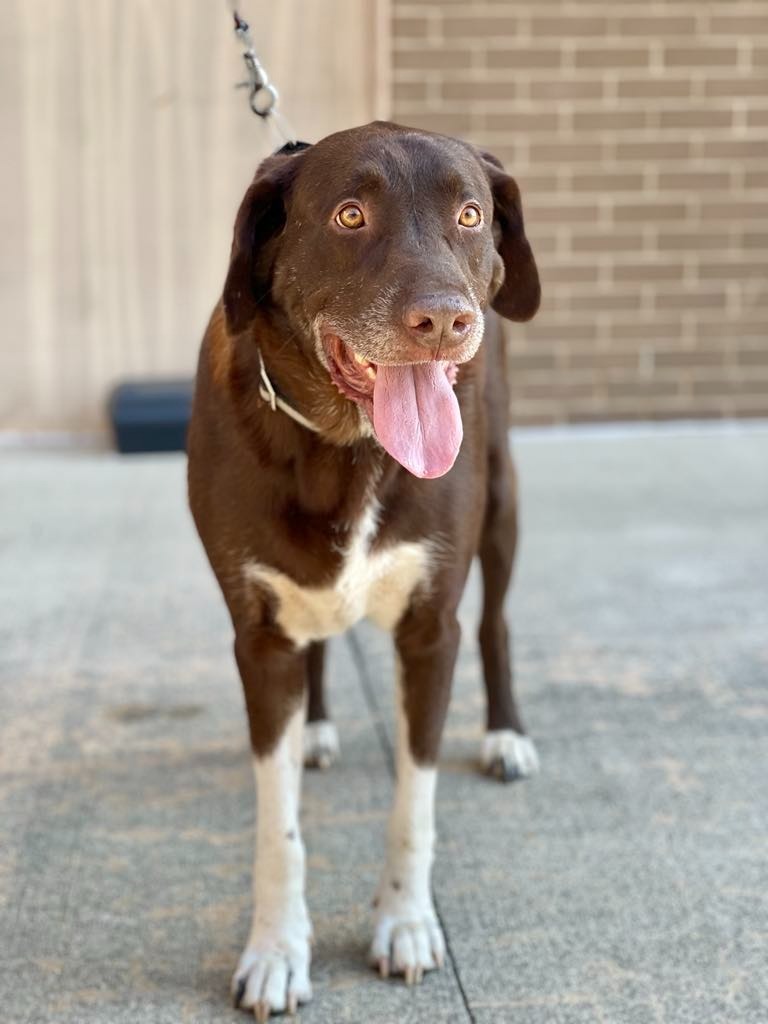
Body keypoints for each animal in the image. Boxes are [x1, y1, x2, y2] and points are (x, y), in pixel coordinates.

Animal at [186, 119, 540, 1015]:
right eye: (349, 215)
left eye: (470, 214)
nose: (444, 321)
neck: (344, 446)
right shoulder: (257, 638)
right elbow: (279, 830)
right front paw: (276, 952)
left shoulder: (429, 629)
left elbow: (414, 803)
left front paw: (405, 923)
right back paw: (313, 727)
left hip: (504, 500)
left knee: (496, 621)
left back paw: (506, 734)